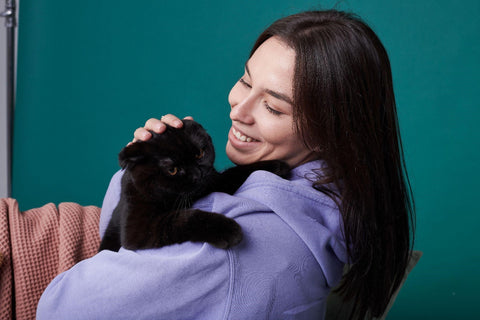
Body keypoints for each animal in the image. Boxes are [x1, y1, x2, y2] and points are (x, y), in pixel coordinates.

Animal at [98, 119, 288, 251]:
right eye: (173, 170)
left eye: (199, 154)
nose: (198, 175)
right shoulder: (138, 229)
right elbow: (182, 219)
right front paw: (227, 229)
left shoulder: (214, 181)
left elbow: (233, 173)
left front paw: (275, 166)